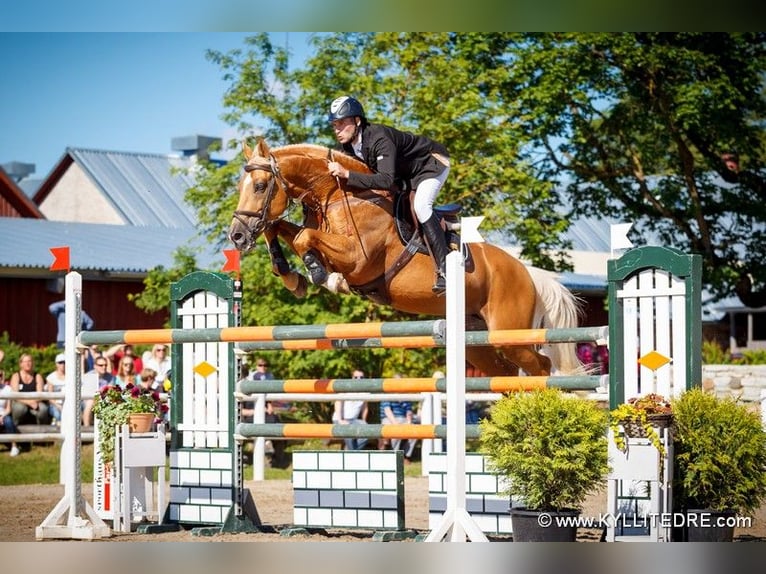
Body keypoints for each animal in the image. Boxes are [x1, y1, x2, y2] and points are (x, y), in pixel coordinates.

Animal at [228, 137, 584, 376]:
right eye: (240, 186)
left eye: (260, 186)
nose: (236, 236)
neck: (338, 194)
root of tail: (528, 273)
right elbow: (279, 228)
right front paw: (291, 276)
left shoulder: (358, 259)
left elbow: (303, 238)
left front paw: (321, 276)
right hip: (478, 342)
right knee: (506, 375)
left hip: (510, 334)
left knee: (541, 367)